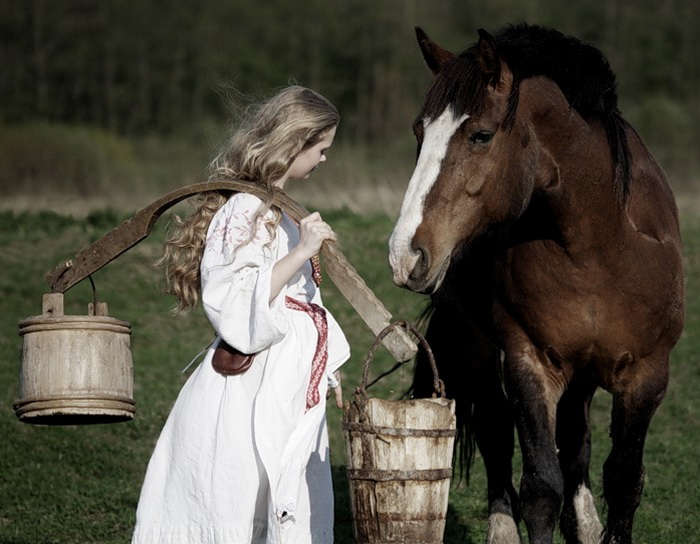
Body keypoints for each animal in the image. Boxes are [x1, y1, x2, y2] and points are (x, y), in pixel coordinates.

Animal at [392, 24, 688, 544]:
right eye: (419, 132)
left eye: (481, 135)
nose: (405, 253)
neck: (598, 247)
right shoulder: (530, 362)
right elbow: (541, 487)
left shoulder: (648, 375)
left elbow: (624, 479)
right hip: (479, 345)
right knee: (494, 427)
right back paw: (503, 528)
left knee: (576, 440)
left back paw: (584, 523)